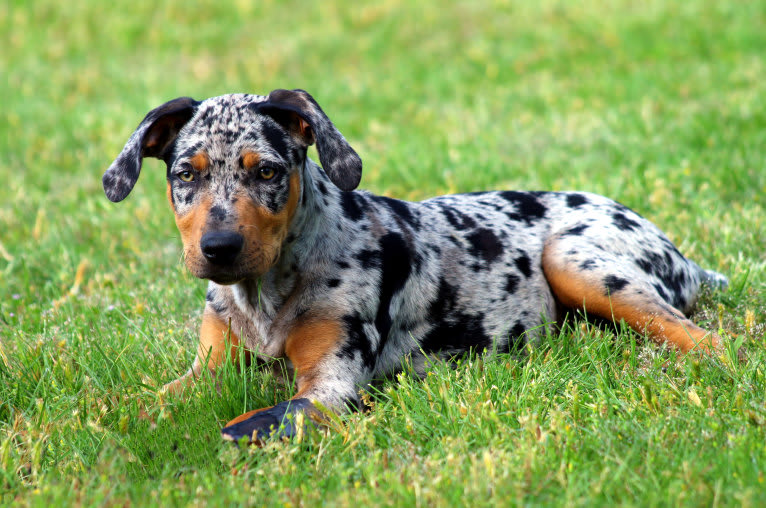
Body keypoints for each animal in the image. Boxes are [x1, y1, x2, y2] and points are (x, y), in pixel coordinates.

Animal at [103, 88, 732, 444]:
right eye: (186, 174)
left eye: (267, 171)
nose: (219, 248)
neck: (265, 294)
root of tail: (684, 257)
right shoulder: (206, 370)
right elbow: (141, 401)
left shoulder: (332, 385)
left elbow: (271, 414)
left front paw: (229, 436)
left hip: (574, 258)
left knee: (703, 338)